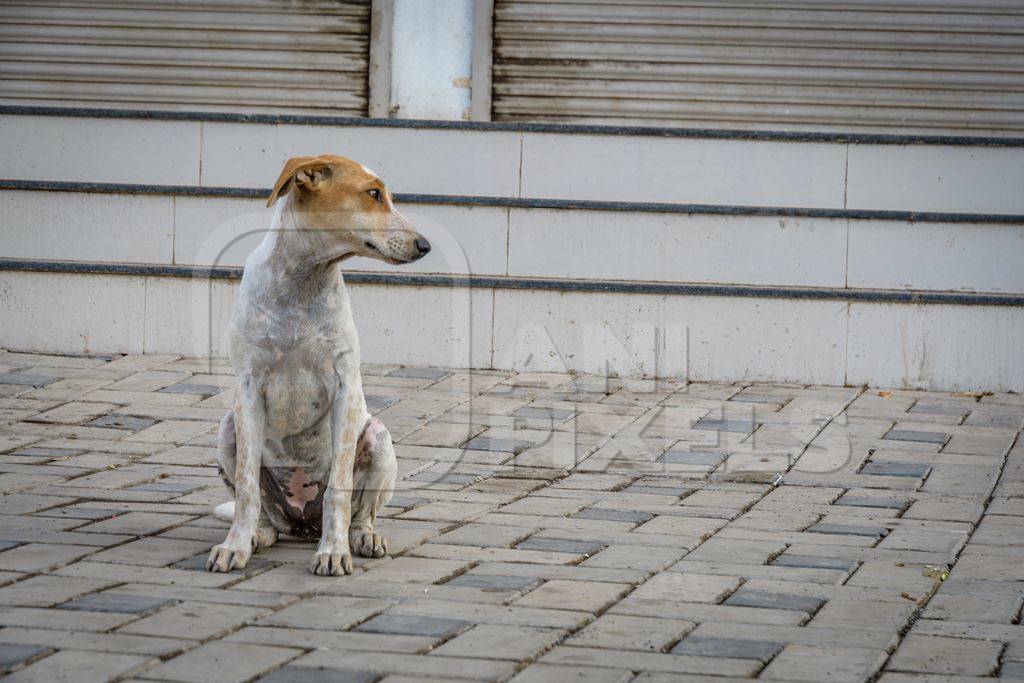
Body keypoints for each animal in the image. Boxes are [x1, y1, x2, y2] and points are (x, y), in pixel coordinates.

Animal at [207, 154, 432, 577]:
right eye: (373, 194)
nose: (424, 245)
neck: (301, 282)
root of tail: (303, 525)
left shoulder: (344, 390)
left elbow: (338, 494)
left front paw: (333, 551)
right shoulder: (248, 390)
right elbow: (246, 488)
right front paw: (234, 546)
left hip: (378, 437)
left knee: (361, 513)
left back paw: (362, 538)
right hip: (228, 428)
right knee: (265, 512)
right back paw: (258, 534)